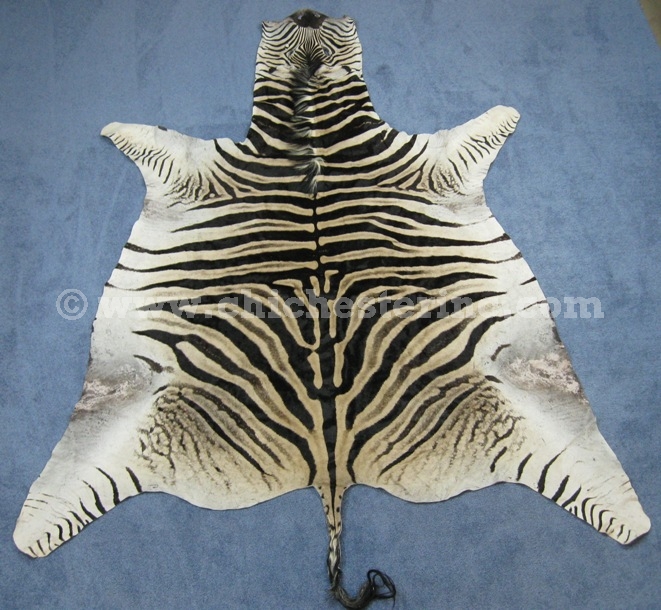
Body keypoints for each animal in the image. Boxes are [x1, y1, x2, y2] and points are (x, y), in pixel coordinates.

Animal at [14, 9, 649, 608]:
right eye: (287, 28)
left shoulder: (423, 159)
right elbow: (148, 134)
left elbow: (480, 126)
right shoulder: (204, 165)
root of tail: (332, 466)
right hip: (135, 403)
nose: (307, 12)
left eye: (321, 26)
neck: (311, 112)